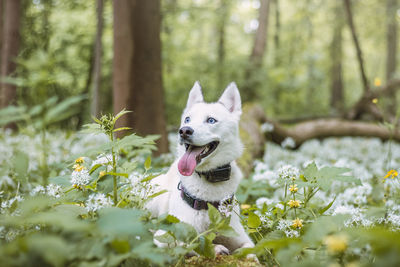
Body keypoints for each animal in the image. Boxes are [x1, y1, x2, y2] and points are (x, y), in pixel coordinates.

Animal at [146, 82, 253, 256]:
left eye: (211, 120)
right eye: (187, 119)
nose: (184, 130)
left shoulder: (241, 237)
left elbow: (251, 249)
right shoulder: (164, 237)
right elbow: (193, 244)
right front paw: (216, 248)